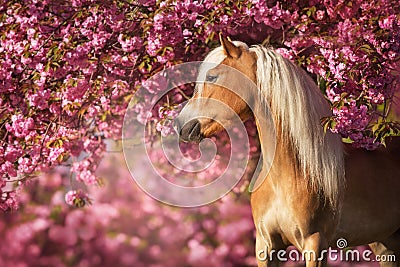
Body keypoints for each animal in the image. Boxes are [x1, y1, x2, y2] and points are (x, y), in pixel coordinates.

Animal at [176, 34, 400, 266]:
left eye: (212, 76)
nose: (181, 125)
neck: (293, 173)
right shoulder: (266, 246)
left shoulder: (315, 245)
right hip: (385, 244)